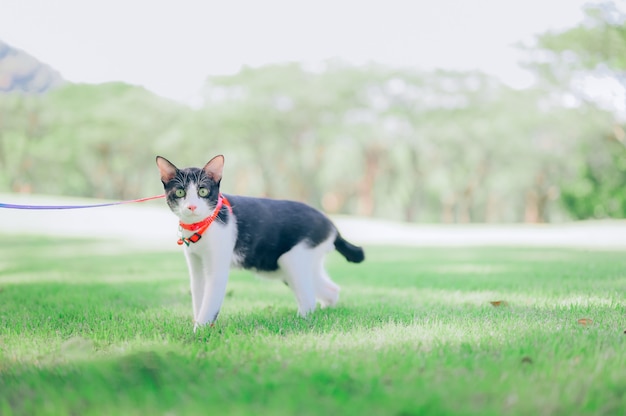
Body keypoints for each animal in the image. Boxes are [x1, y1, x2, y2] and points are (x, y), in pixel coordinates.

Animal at [154, 154, 364, 330]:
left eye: (203, 191)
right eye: (180, 193)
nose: (191, 206)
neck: (201, 225)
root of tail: (331, 224)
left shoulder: (217, 269)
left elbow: (209, 303)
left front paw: (200, 332)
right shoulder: (197, 267)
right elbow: (199, 298)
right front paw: (198, 326)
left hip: (291, 259)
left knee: (309, 299)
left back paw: (302, 320)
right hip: (294, 266)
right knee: (330, 289)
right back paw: (326, 311)